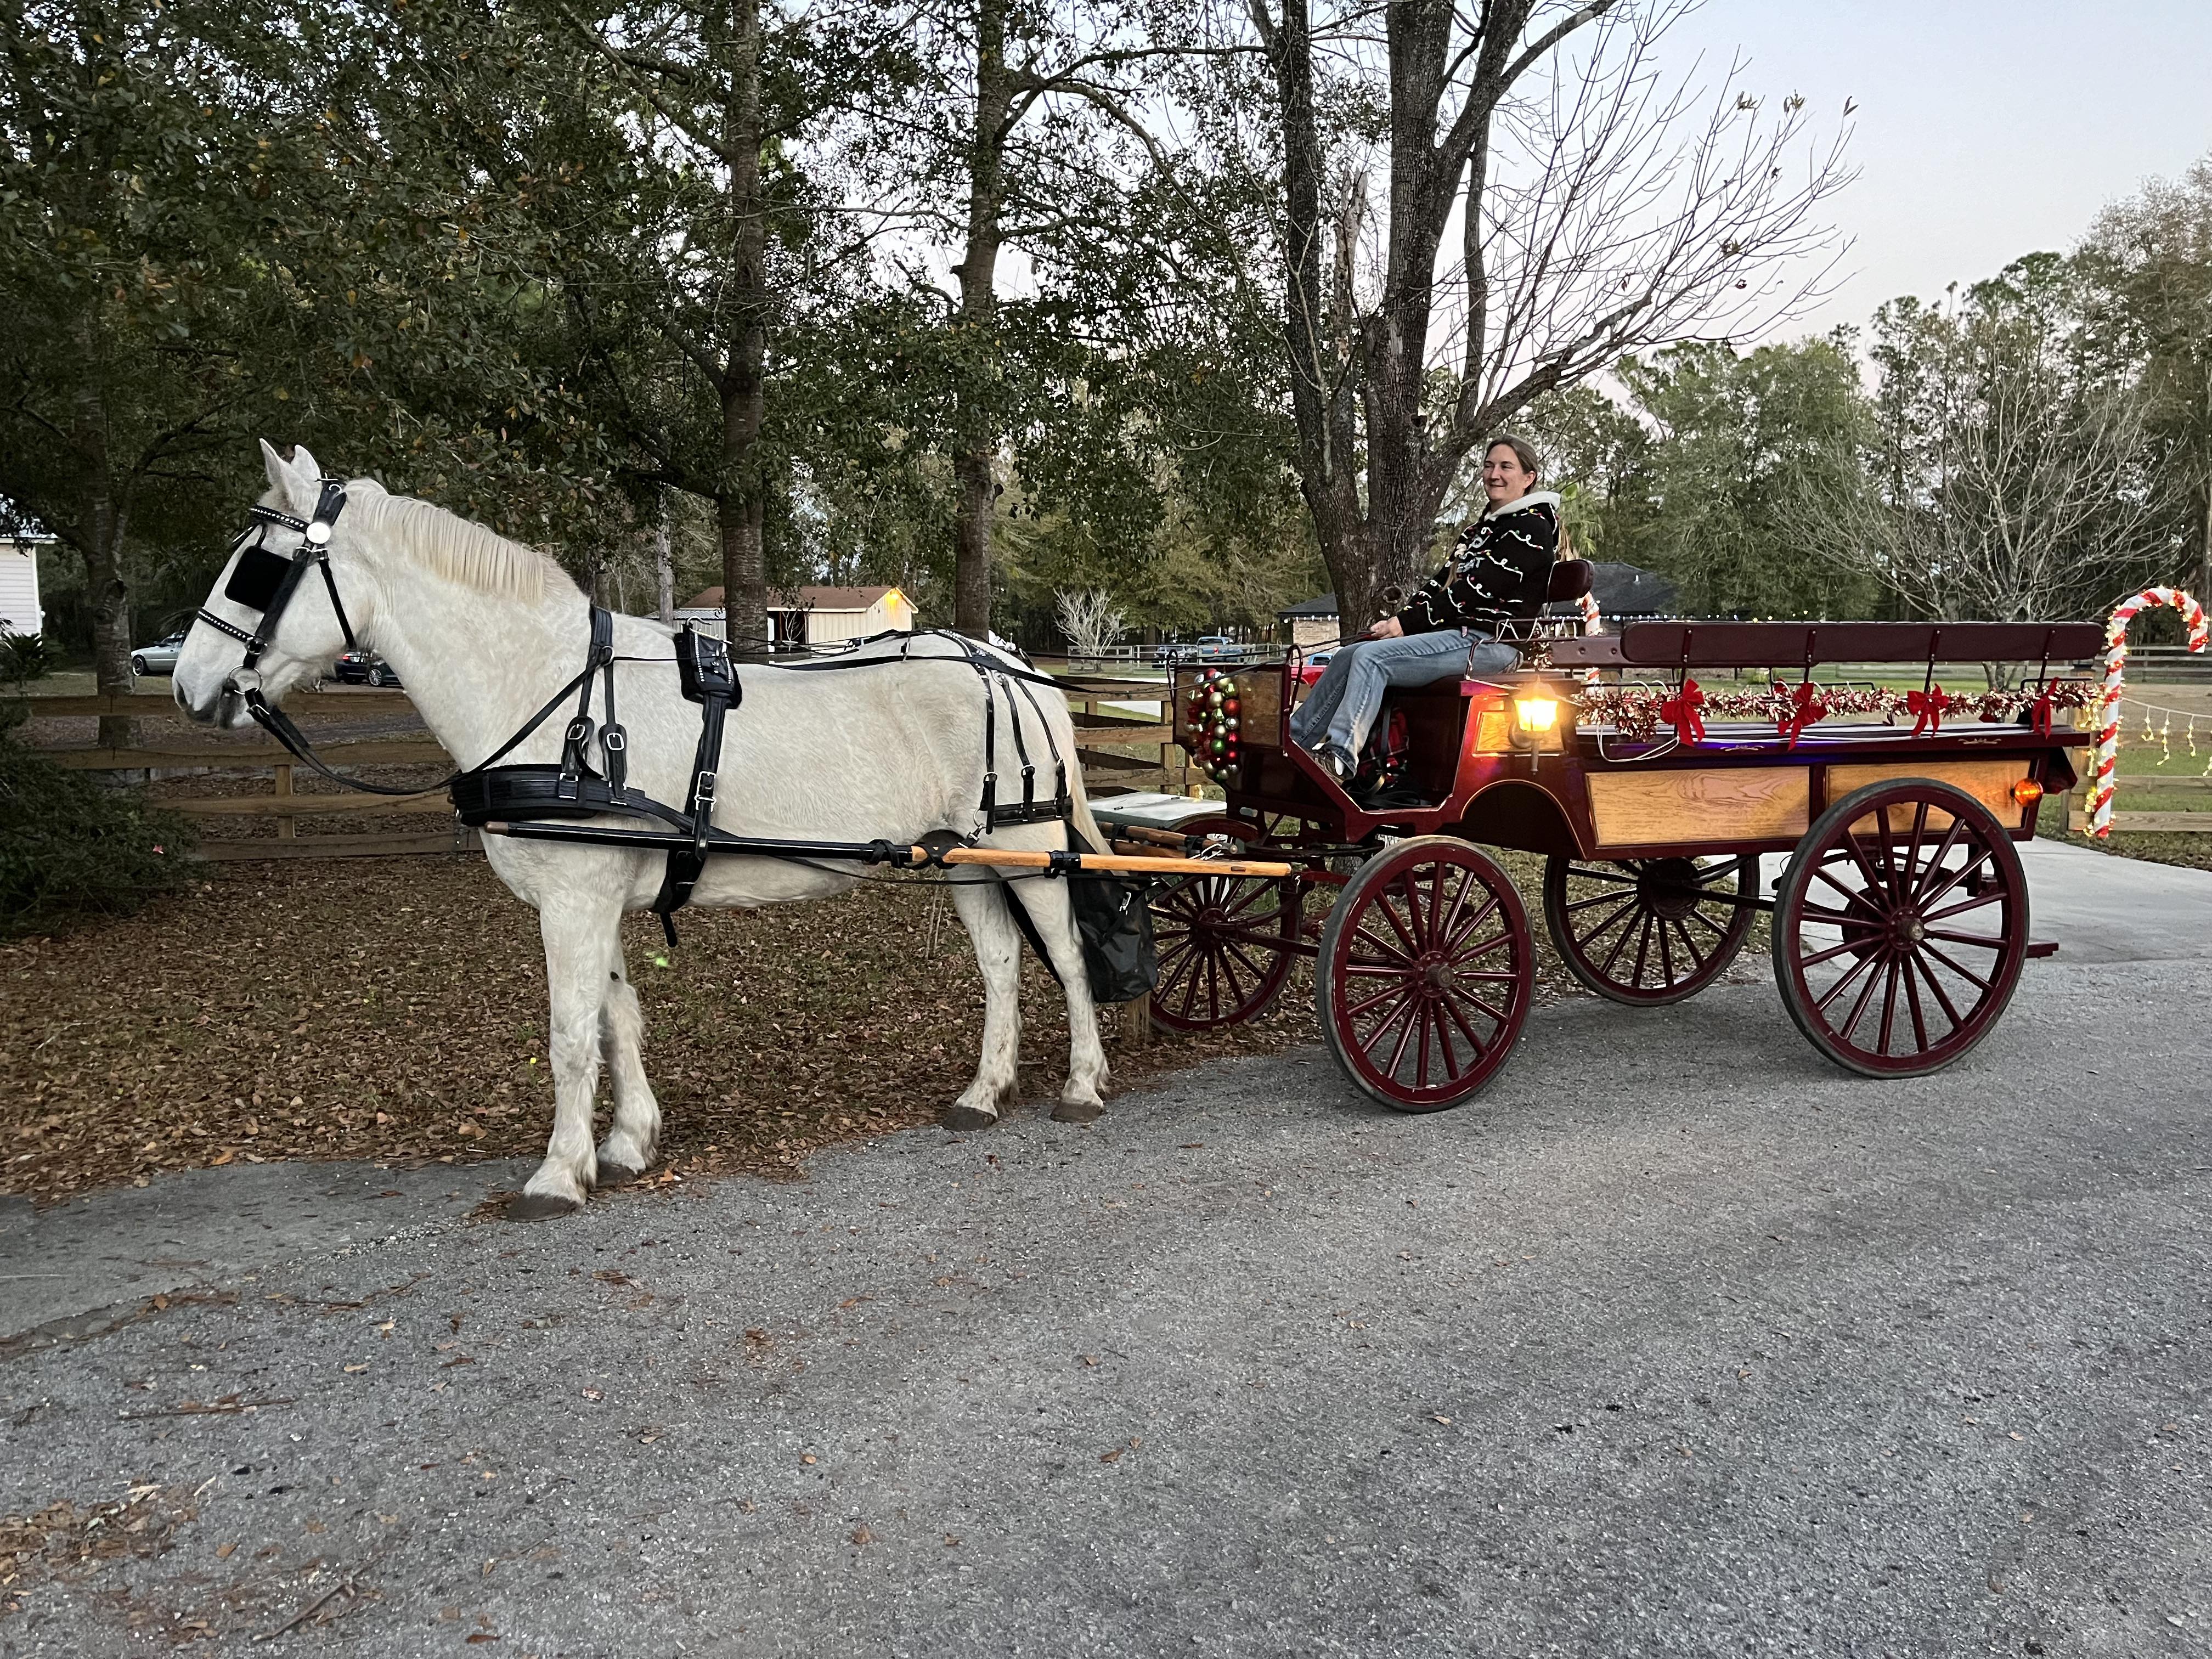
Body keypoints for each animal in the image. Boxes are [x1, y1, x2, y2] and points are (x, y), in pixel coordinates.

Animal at [172, 441, 1111, 1219]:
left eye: (257, 569)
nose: (188, 685)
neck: (553, 695)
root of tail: (1010, 664)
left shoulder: (574, 899)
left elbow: (568, 1035)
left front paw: (559, 1173)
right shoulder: (594, 895)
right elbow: (616, 1018)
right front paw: (627, 1143)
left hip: (1024, 850)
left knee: (1067, 958)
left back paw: (1083, 1082)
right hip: (965, 858)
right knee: (1000, 964)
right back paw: (983, 1092)